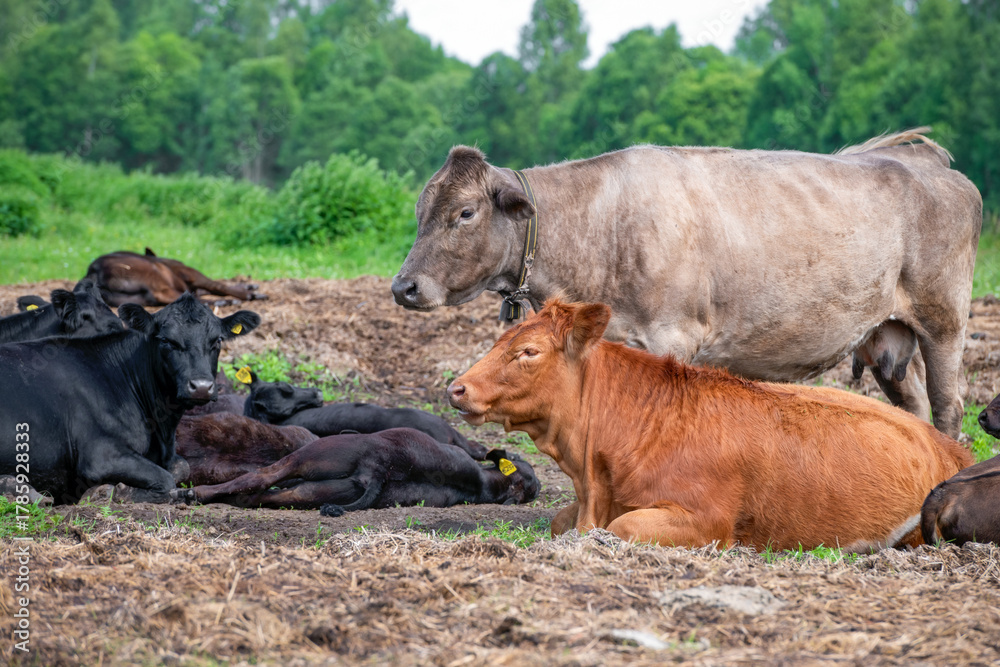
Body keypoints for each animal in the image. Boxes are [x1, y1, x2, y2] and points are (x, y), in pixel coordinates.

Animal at [0, 294, 260, 504]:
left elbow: (181, 466)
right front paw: (114, 491)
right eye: (166, 340)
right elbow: (165, 480)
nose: (201, 387)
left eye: (217, 341)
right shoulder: (101, 454)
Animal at [85, 247, 267, 307]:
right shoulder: (190, 273)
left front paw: (250, 286)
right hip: (156, 279)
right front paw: (250, 293)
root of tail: (93, 273)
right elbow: (217, 285)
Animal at [393, 129, 982, 438]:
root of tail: (921, 157)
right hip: (886, 335)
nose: (404, 288)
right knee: (915, 407)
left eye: (465, 213)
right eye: (421, 210)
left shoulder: (672, 335)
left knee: (948, 405)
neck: (600, 227)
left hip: (944, 321)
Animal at [446, 299, 974, 551]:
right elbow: (562, 523)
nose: (457, 388)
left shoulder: (704, 520)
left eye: (528, 351)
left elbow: (622, 527)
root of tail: (947, 444)